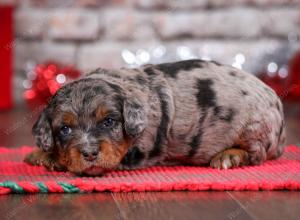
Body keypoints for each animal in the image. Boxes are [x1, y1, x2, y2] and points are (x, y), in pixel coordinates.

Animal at [24, 59, 284, 176]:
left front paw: (49, 158)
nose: (88, 153)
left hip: (254, 127)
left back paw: (228, 156)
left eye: (109, 121)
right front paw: (38, 153)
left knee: (257, 154)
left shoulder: (136, 153)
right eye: (65, 129)